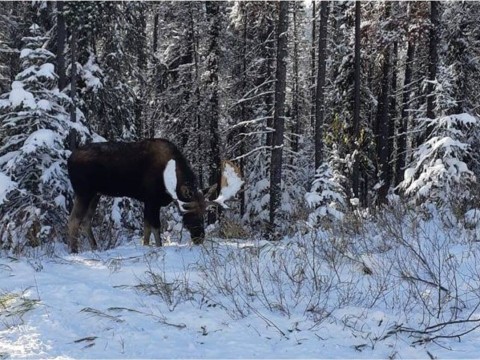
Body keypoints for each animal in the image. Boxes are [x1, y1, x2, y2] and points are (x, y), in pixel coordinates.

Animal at [66, 138, 244, 253]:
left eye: (205, 213)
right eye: (189, 213)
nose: (199, 237)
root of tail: (69, 159)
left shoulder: (148, 201)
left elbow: (146, 228)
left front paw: (146, 247)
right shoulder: (152, 200)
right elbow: (156, 228)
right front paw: (158, 248)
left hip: (96, 194)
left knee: (86, 220)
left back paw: (95, 248)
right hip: (84, 191)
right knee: (74, 219)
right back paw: (74, 251)